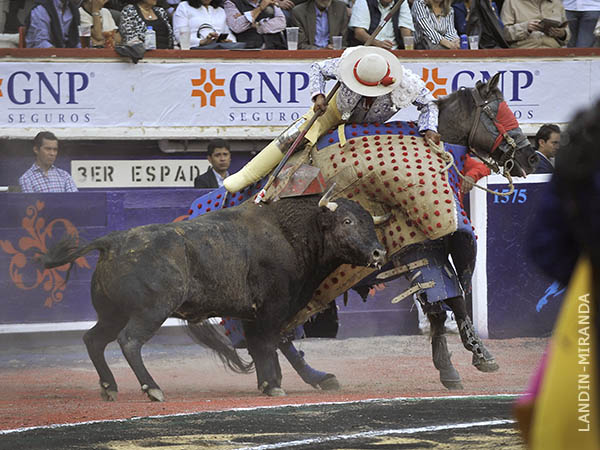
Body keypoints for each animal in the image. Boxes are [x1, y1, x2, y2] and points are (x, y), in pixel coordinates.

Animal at [42, 195, 384, 400]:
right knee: (129, 341)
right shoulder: (272, 308)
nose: (378, 252)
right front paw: (274, 386)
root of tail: (113, 240)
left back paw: (109, 387)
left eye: (370, 221)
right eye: (348, 222)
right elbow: (268, 343)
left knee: (93, 340)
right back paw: (152, 388)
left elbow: (263, 345)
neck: (291, 233)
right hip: (149, 311)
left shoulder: (254, 314)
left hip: (112, 313)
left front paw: (267, 383)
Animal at [190, 72, 536, 392]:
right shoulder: (419, 251)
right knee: (274, 338)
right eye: (496, 112)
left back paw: (313, 378)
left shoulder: (430, 251)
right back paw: (311, 377)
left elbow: (447, 303)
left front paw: (461, 363)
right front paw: (467, 360)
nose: (531, 157)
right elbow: (448, 302)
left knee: (276, 338)